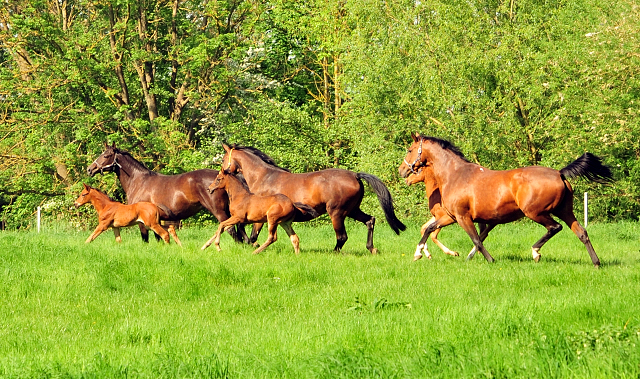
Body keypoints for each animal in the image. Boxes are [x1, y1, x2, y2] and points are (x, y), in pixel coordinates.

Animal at [85, 142, 245, 243]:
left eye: (106, 156)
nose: (90, 169)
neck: (139, 181)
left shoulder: (142, 221)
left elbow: (146, 239)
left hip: (219, 211)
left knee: (231, 229)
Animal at [218, 144, 402, 254]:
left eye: (223, 159)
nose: (222, 171)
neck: (264, 177)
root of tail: (355, 175)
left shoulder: (261, 217)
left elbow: (251, 234)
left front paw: (251, 246)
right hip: (352, 210)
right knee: (370, 221)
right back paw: (371, 248)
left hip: (337, 213)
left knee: (342, 236)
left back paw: (334, 252)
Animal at [398, 134, 612, 268]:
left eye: (409, 150)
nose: (402, 171)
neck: (455, 174)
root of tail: (559, 173)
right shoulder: (451, 217)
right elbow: (429, 229)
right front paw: (418, 253)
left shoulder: (462, 217)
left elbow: (476, 238)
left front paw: (489, 260)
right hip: (565, 211)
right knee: (582, 233)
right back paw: (596, 263)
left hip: (536, 212)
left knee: (554, 227)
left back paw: (535, 252)